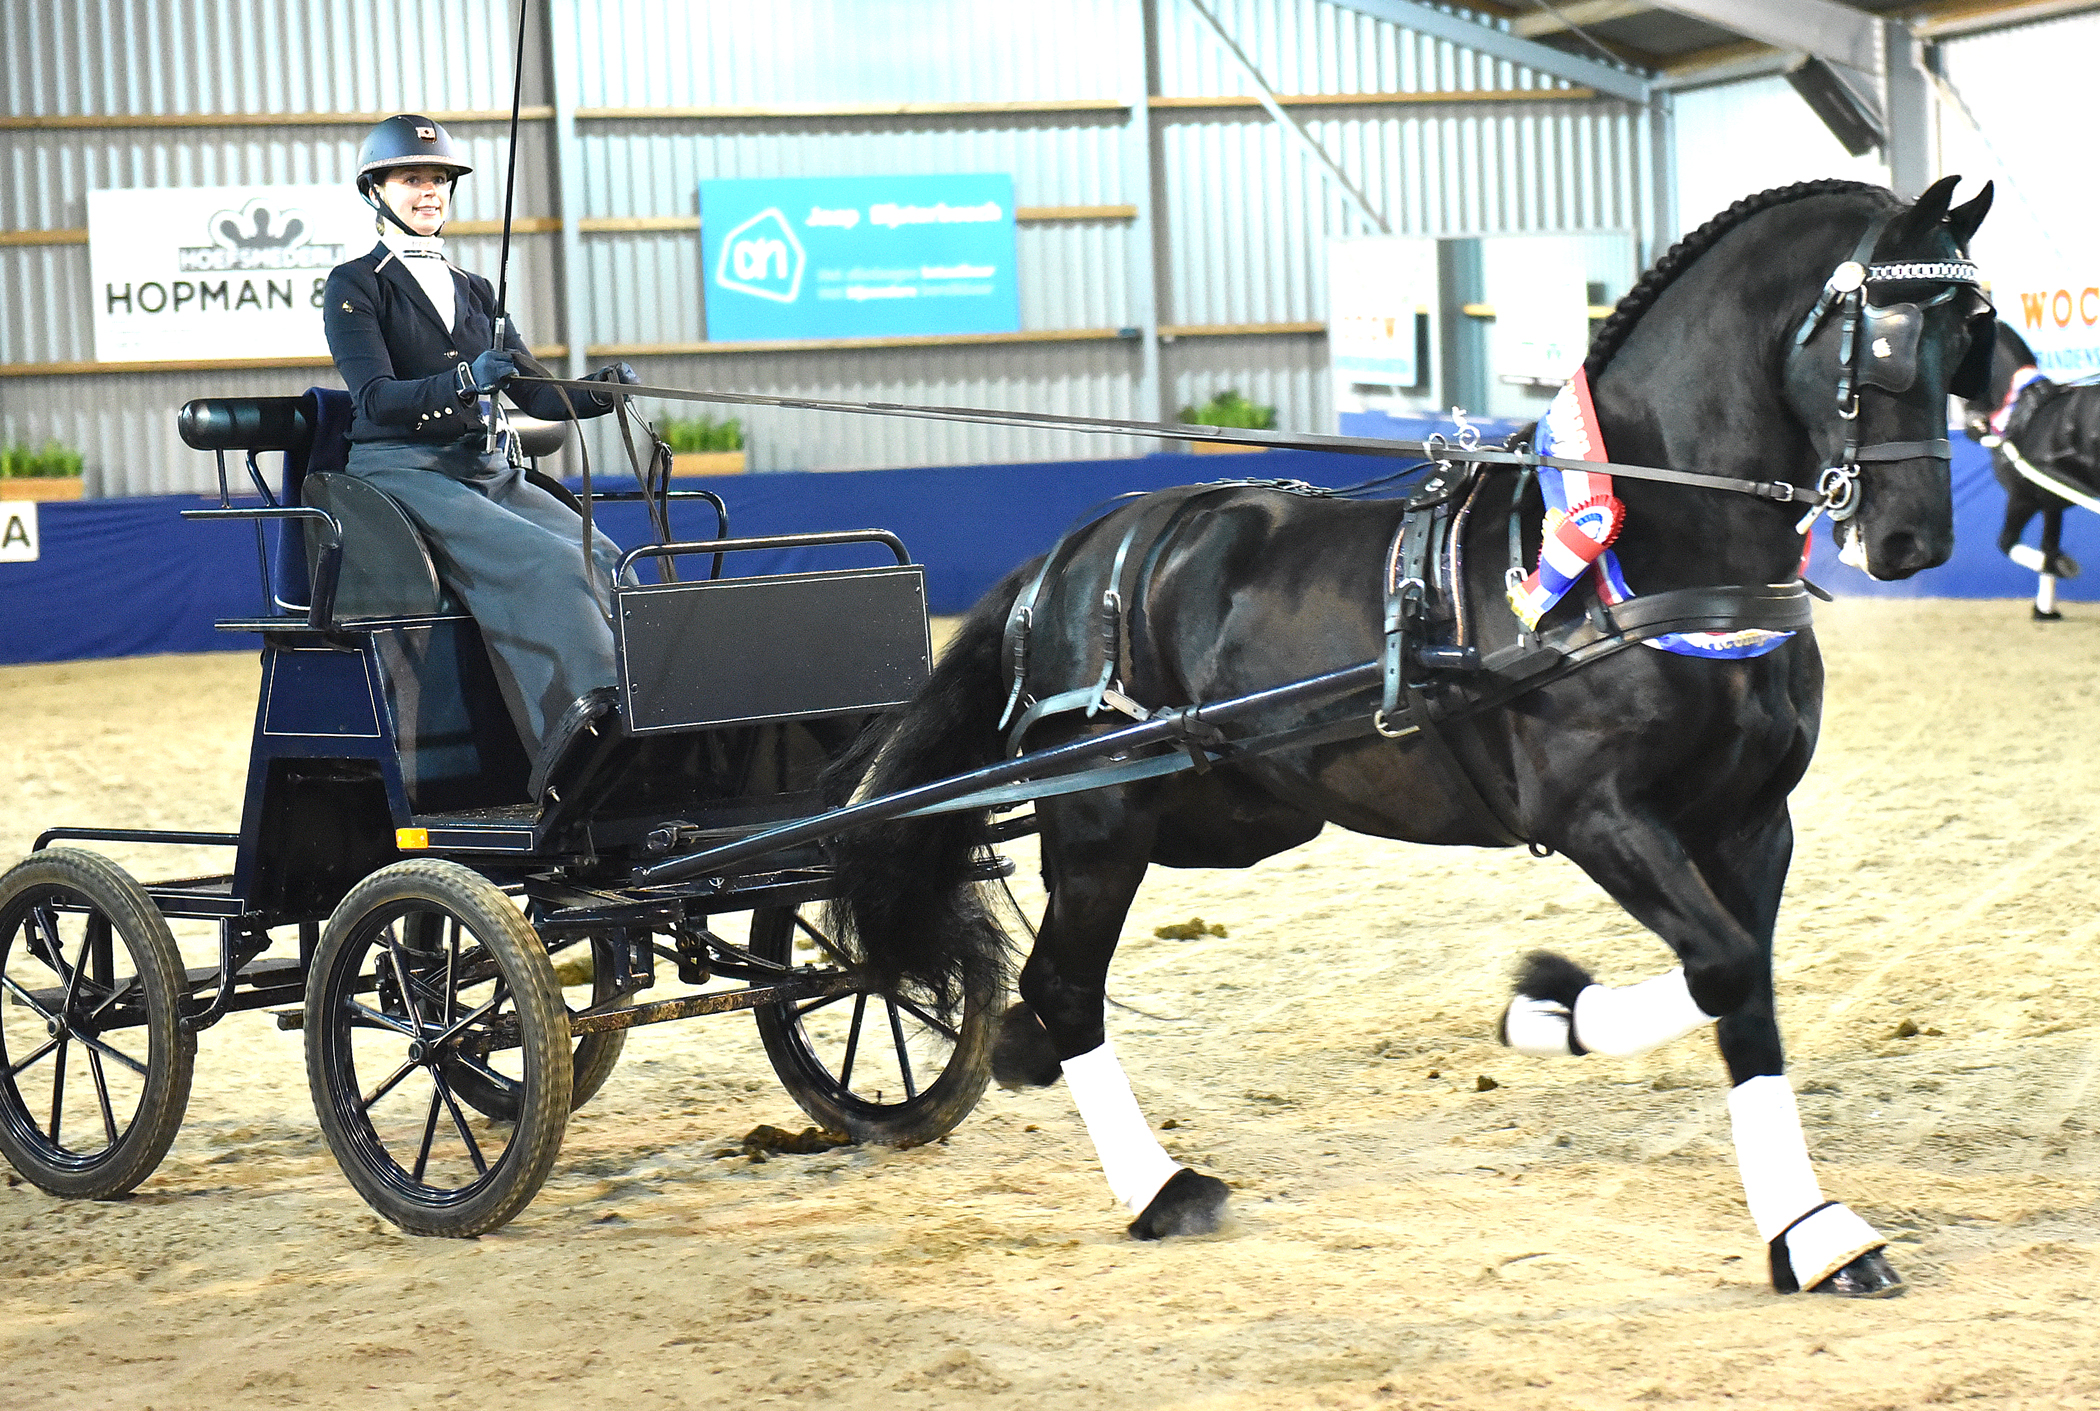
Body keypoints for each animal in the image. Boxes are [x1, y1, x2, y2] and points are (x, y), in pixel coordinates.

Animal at [818, 176, 1982, 1301]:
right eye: (1884, 336)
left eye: (1969, 336)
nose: (1913, 537)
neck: (1648, 551)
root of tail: (1067, 558)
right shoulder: (1599, 815)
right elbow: (1726, 967)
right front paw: (1564, 1015)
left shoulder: (1750, 820)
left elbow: (1745, 983)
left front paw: (1803, 1226)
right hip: (1107, 809)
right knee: (1065, 981)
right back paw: (1159, 1187)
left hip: (1227, 811)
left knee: (1050, 972)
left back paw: (1026, 1054)